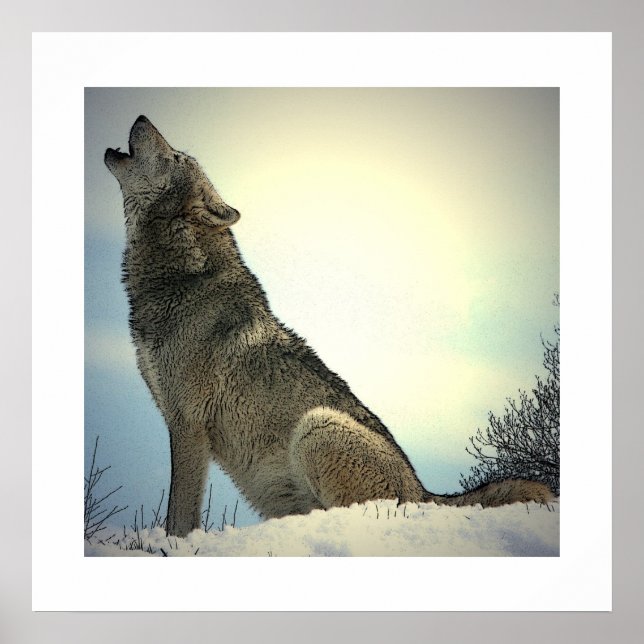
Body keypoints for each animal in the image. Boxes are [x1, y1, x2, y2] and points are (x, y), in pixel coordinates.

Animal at [105, 115, 553, 537]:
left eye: (176, 157)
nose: (142, 117)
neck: (182, 277)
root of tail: (425, 493)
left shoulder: (188, 424)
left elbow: (178, 515)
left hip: (316, 426)